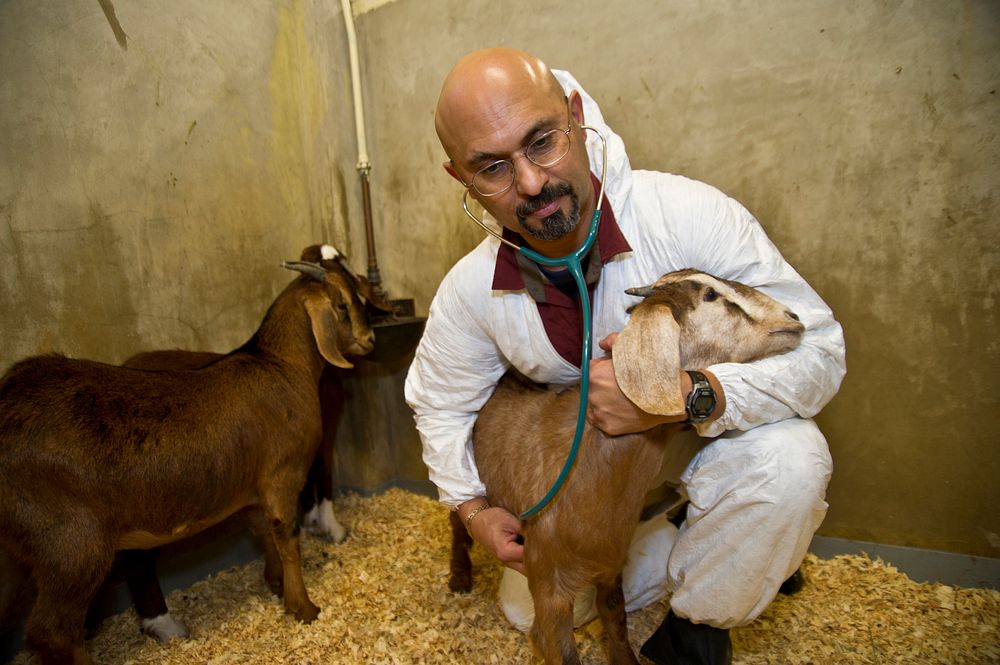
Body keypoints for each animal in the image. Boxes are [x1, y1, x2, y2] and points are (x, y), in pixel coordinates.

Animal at [0, 250, 372, 664]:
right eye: (342, 304)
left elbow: (263, 532)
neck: (281, 366)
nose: (369, 341)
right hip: (71, 546)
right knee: (53, 631)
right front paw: (304, 607)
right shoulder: (282, 476)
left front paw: (275, 586)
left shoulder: (253, 489)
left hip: (14, 555)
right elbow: (286, 536)